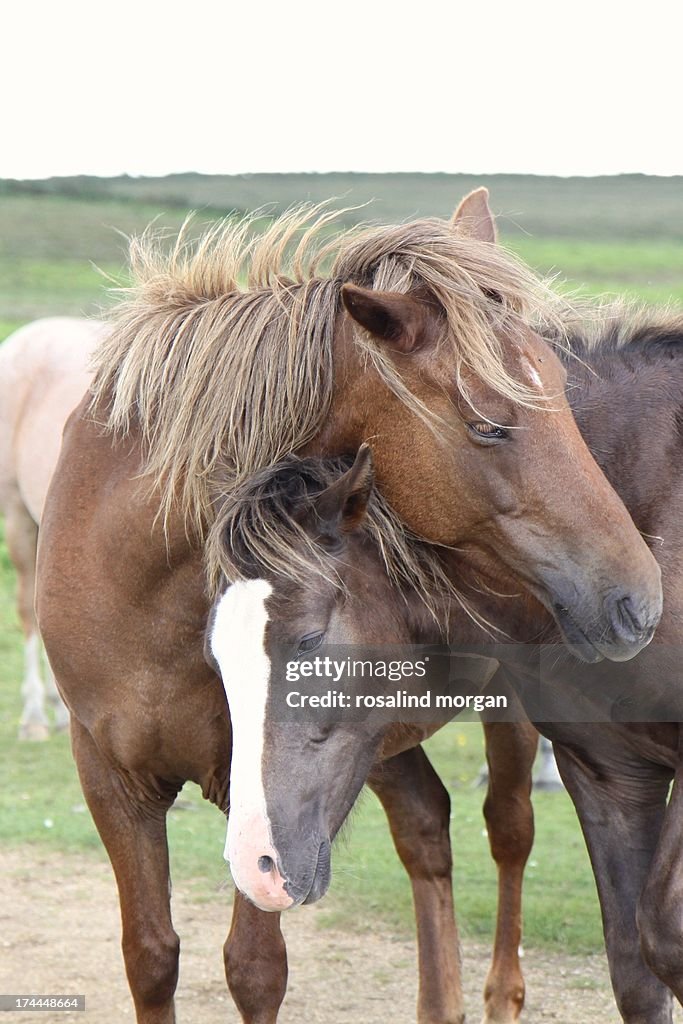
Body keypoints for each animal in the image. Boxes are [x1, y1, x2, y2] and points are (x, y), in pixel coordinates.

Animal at [36, 192, 663, 1024]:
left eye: (561, 388)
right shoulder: (110, 777)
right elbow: (151, 957)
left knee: (508, 829)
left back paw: (499, 994)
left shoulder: (257, 788)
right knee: (425, 828)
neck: (143, 588)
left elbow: (253, 968)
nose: (637, 597)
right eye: (487, 424)